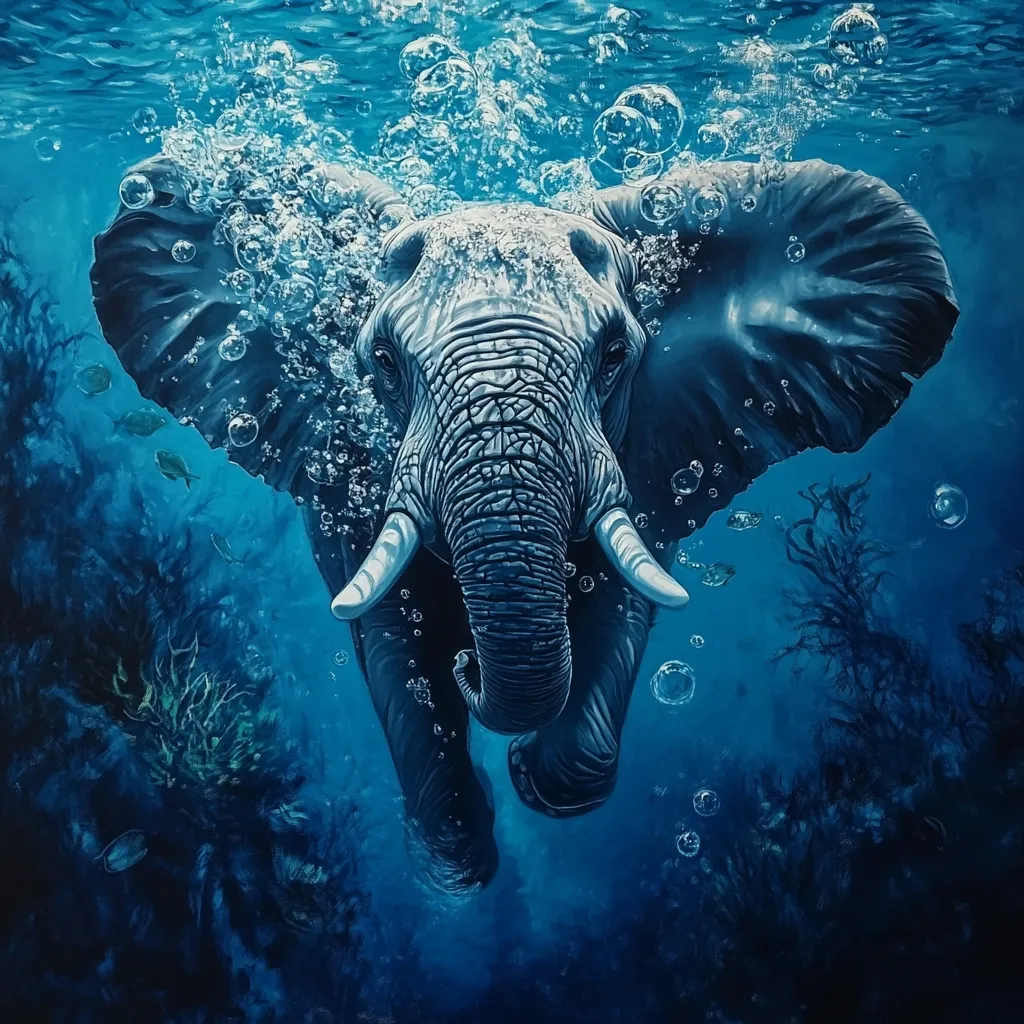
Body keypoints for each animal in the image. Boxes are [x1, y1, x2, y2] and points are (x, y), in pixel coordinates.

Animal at [90, 152, 958, 895]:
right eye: (383, 363)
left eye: (614, 355)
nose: (472, 664)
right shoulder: (351, 491)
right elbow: (394, 650)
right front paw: (463, 843)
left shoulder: (645, 460)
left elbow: (617, 619)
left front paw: (530, 772)